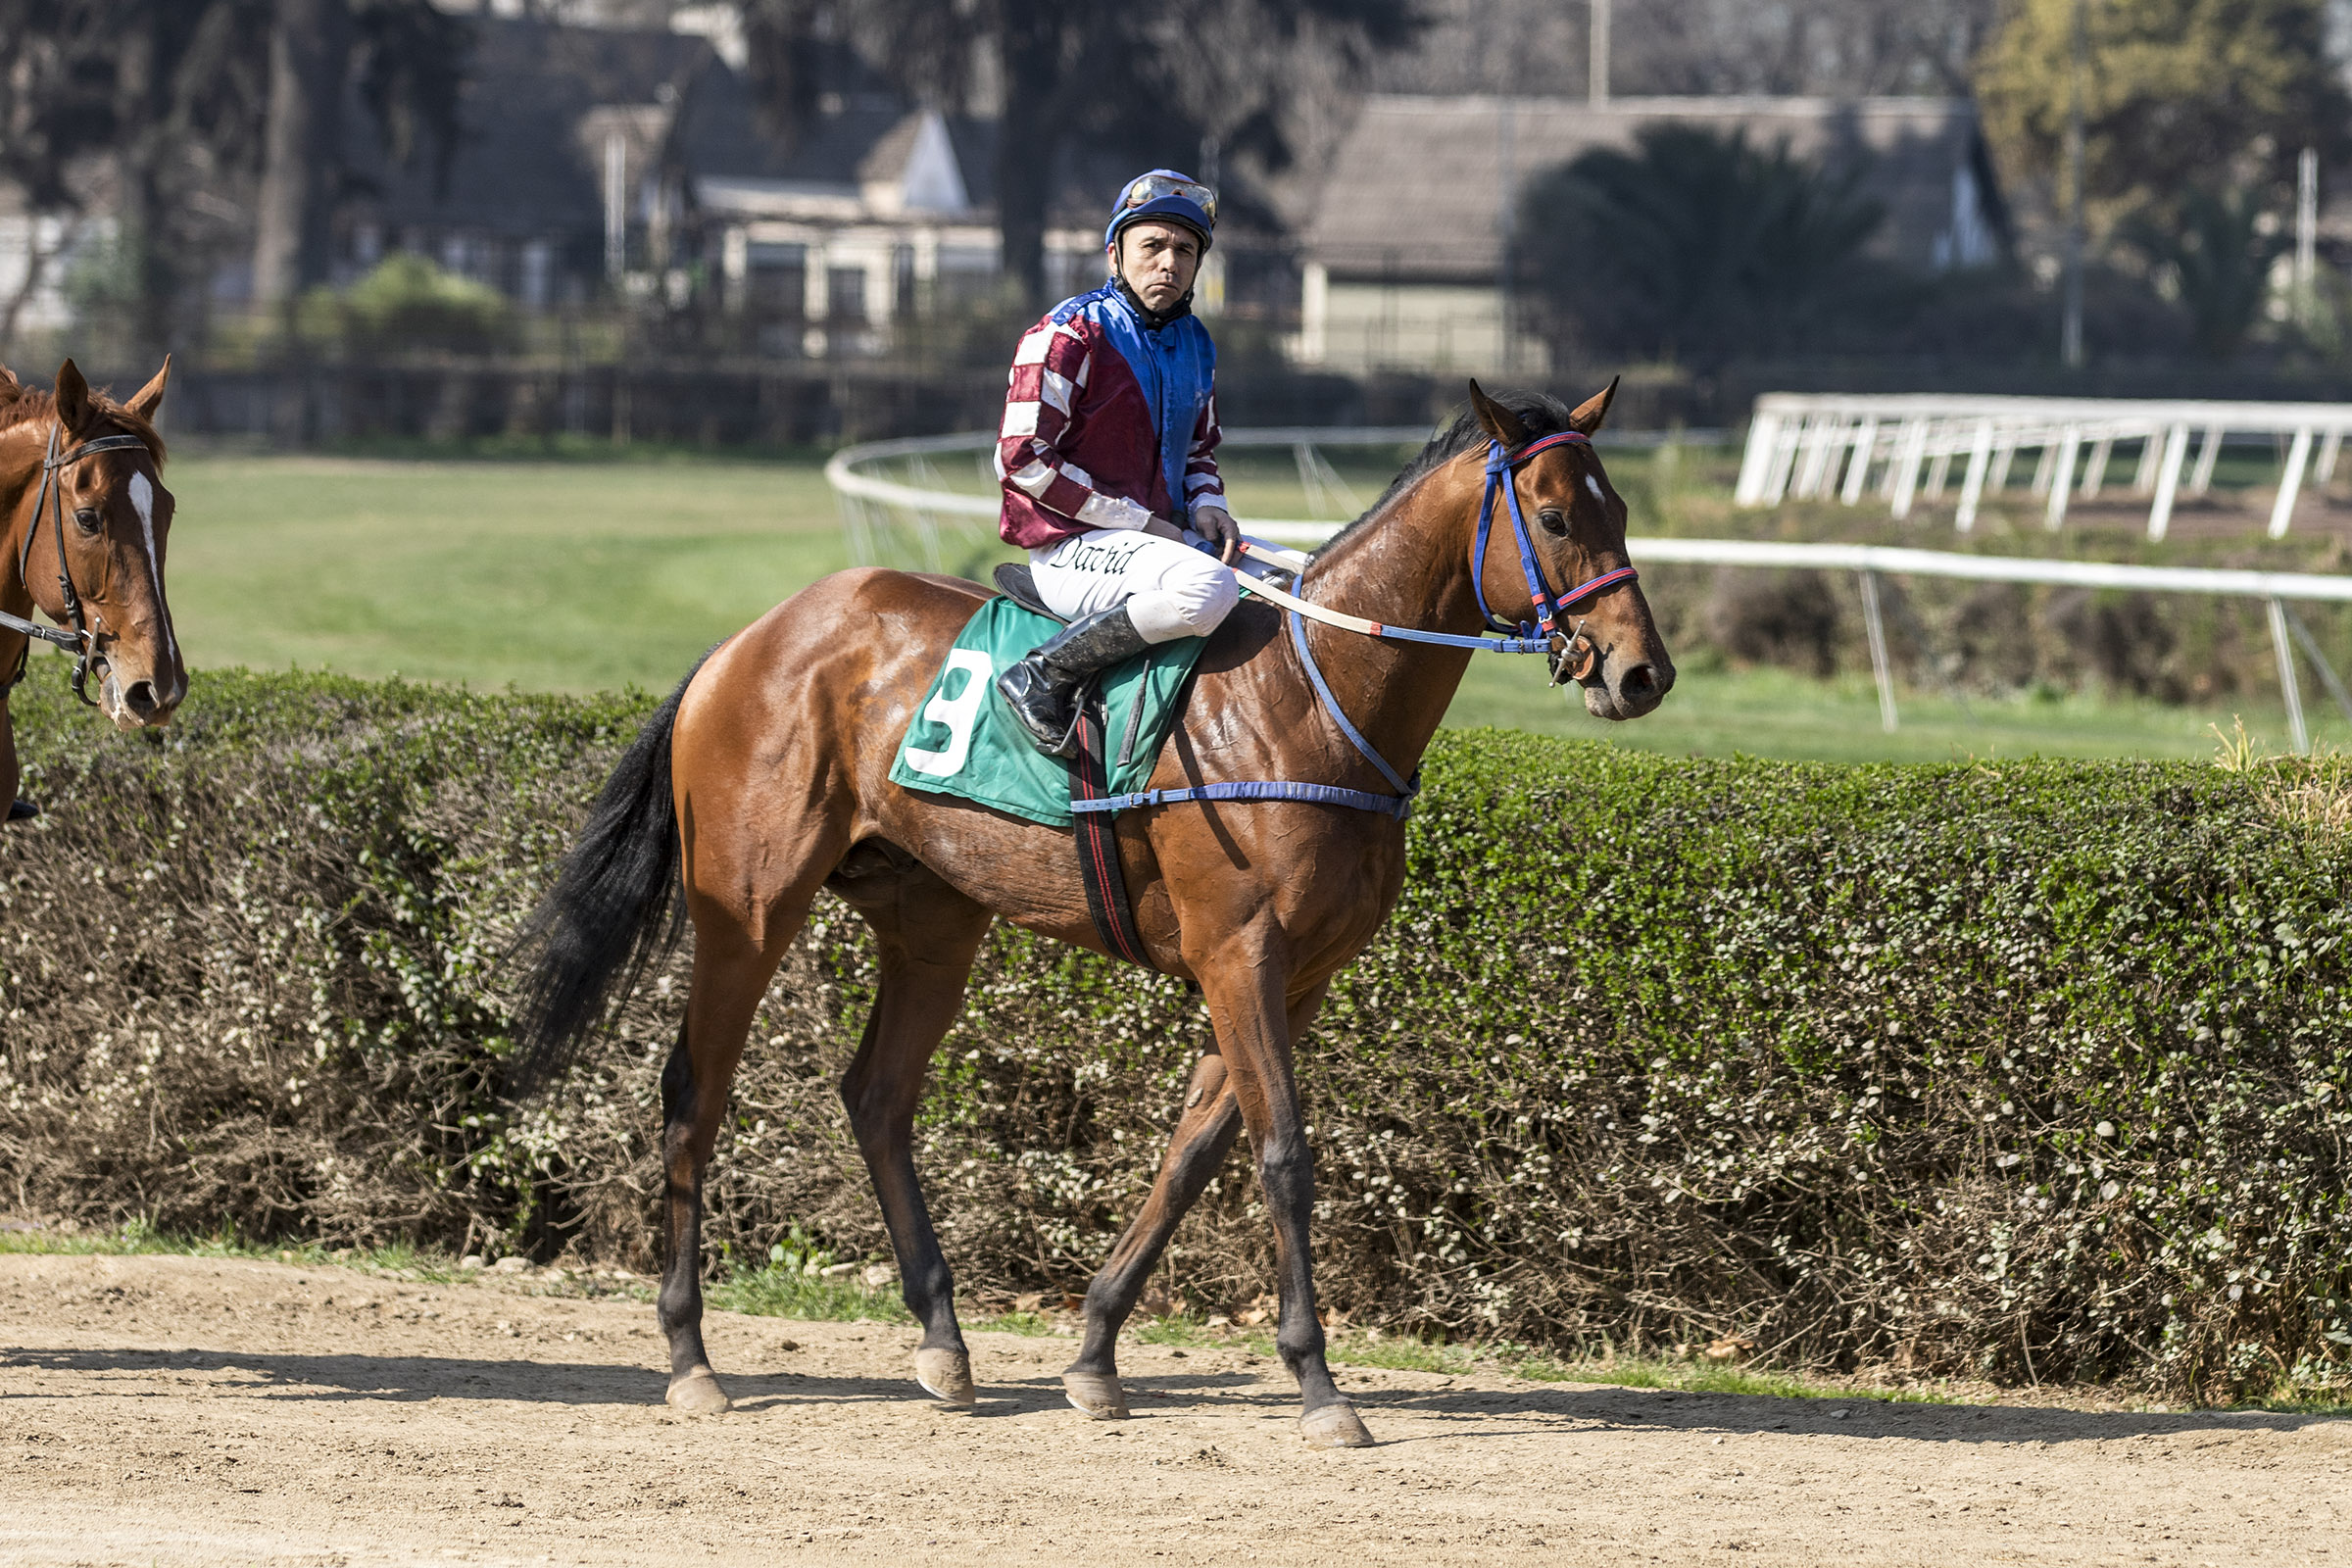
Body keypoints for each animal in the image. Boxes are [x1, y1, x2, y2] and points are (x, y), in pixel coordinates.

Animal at [514, 380, 1673, 1448]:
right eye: (1556, 519)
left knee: (877, 1095)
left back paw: (944, 1343)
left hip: (933, 918)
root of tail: (747, 639)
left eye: (1621, 510)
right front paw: (1318, 1382)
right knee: (694, 1091)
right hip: (751, 906)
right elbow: (1283, 1154)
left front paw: (1094, 1350)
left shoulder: (1300, 974)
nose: (1642, 673)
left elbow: (1194, 1155)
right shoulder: (1238, 951)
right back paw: (690, 1356)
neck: (1311, 701)